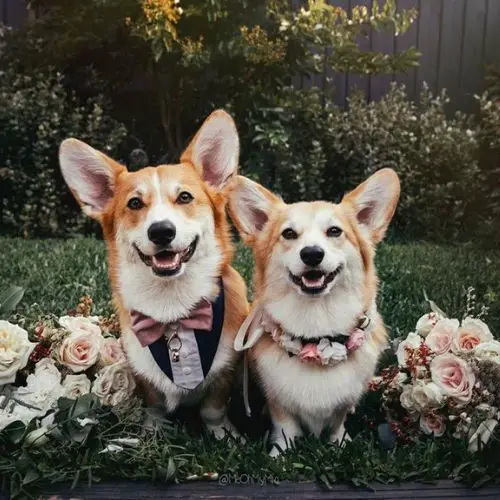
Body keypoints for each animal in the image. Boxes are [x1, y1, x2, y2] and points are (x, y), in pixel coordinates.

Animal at [59, 110, 249, 438]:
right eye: (135, 203)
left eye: (184, 197)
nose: (161, 231)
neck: (173, 308)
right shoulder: (143, 371)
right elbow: (156, 404)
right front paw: (153, 431)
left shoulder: (226, 370)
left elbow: (213, 409)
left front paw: (222, 434)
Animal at [231, 170, 402, 456]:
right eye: (289, 233)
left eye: (334, 231)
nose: (312, 254)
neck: (317, 330)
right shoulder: (279, 401)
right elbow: (285, 428)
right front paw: (280, 455)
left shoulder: (342, 401)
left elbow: (337, 422)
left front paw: (340, 444)